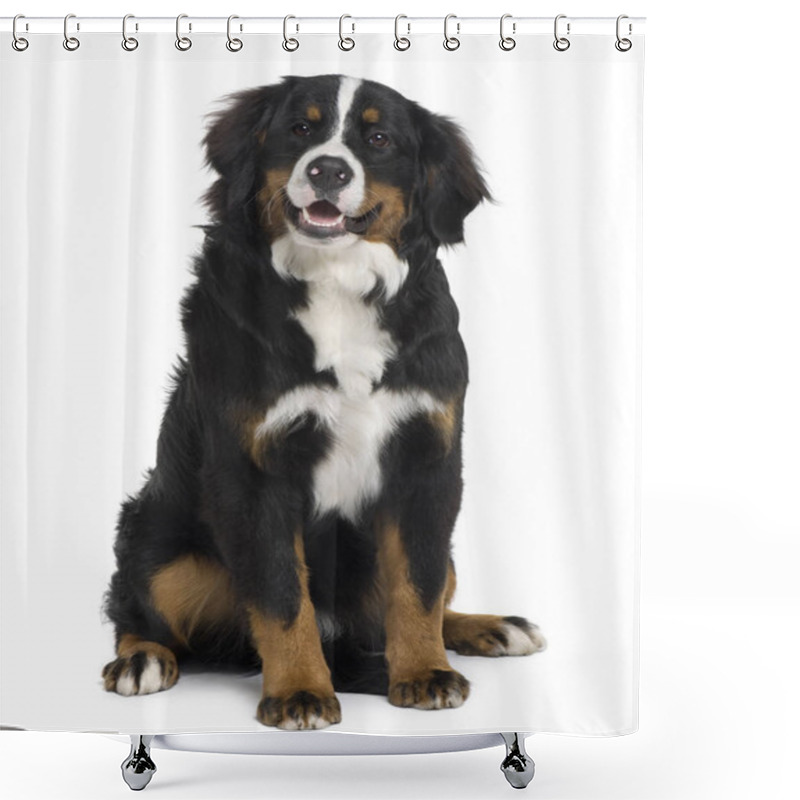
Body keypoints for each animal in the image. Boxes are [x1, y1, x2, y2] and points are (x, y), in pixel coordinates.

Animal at [101, 75, 544, 732]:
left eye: (379, 139)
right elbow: (283, 596)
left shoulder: (427, 461)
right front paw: (300, 691)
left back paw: (491, 628)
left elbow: (418, 586)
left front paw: (424, 673)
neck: (338, 284)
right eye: (300, 129)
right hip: (159, 538)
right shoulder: (256, 471)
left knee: (439, 592)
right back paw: (141, 659)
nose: (329, 170)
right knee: (137, 610)